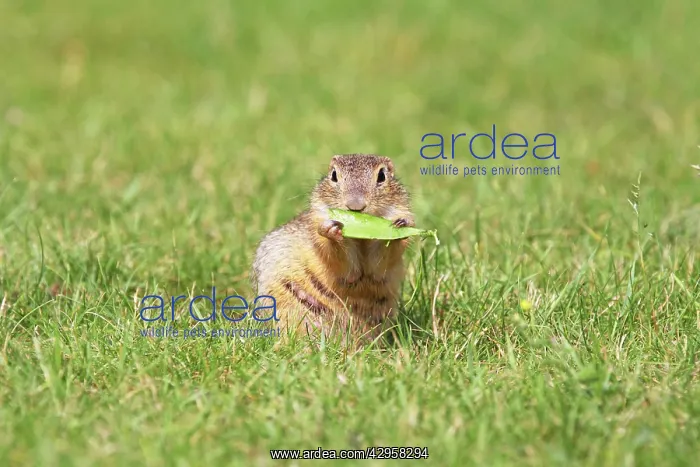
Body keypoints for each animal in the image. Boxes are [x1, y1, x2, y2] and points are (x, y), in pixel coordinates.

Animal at [251, 154, 415, 343]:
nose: (355, 206)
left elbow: (379, 267)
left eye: (382, 175)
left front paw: (400, 226)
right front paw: (331, 232)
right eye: (334, 175)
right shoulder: (318, 224)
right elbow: (345, 267)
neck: (361, 239)